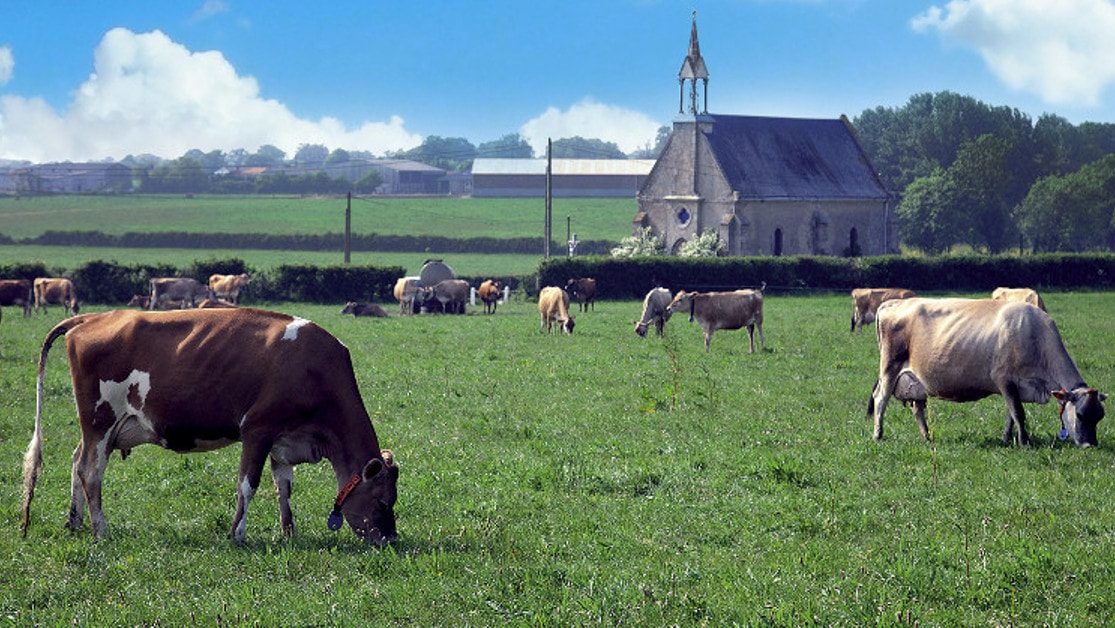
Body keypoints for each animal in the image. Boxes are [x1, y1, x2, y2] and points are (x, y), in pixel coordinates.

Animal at [20, 310, 401, 546]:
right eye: (383, 501)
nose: (390, 540)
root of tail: (95, 317)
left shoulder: (284, 440)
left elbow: (284, 488)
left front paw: (288, 533)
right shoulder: (257, 430)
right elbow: (248, 485)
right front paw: (237, 535)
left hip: (101, 429)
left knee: (75, 461)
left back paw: (74, 522)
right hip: (100, 420)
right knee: (90, 471)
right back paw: (101, 530)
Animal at [865, 298, 1101, 446]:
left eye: (1100, 417)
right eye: (1080, 415)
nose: (1091, 445)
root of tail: (894, 302)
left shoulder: (1014, 387)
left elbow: (1010, 414)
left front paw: (1007, 439)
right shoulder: (1003, 379)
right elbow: (1018, 413)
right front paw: (1025, 442)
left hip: (915, 381)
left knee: (917, 408)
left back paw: (927, 436)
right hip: (890, 367)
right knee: (880, 398)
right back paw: (878, 435)